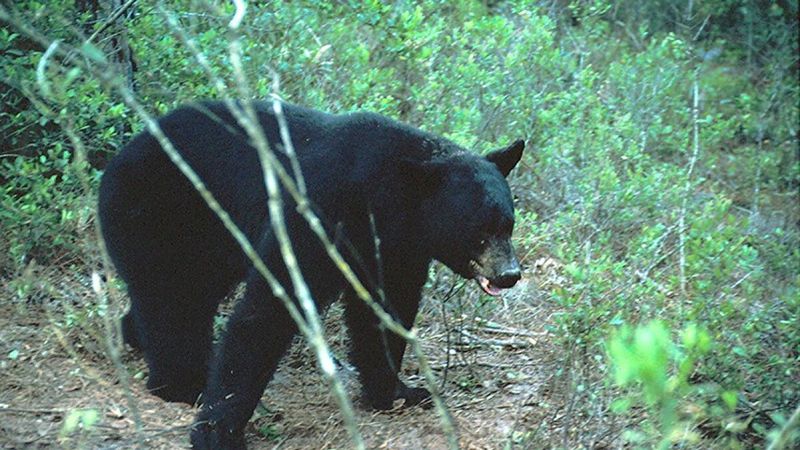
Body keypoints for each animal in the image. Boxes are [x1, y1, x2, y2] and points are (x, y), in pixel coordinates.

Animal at [97, 100, 524, 449]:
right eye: (480, 232)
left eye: (508, 224)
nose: (510, 274)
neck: (381, 199)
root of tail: (121, 153)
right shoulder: (317, 210)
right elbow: (268, 309)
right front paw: (219, 431)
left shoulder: (393, 250)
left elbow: (384, 312)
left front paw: (398, 392)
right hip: (162, 209)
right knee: (173, 296)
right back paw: (182, 383)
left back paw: (138, 337)